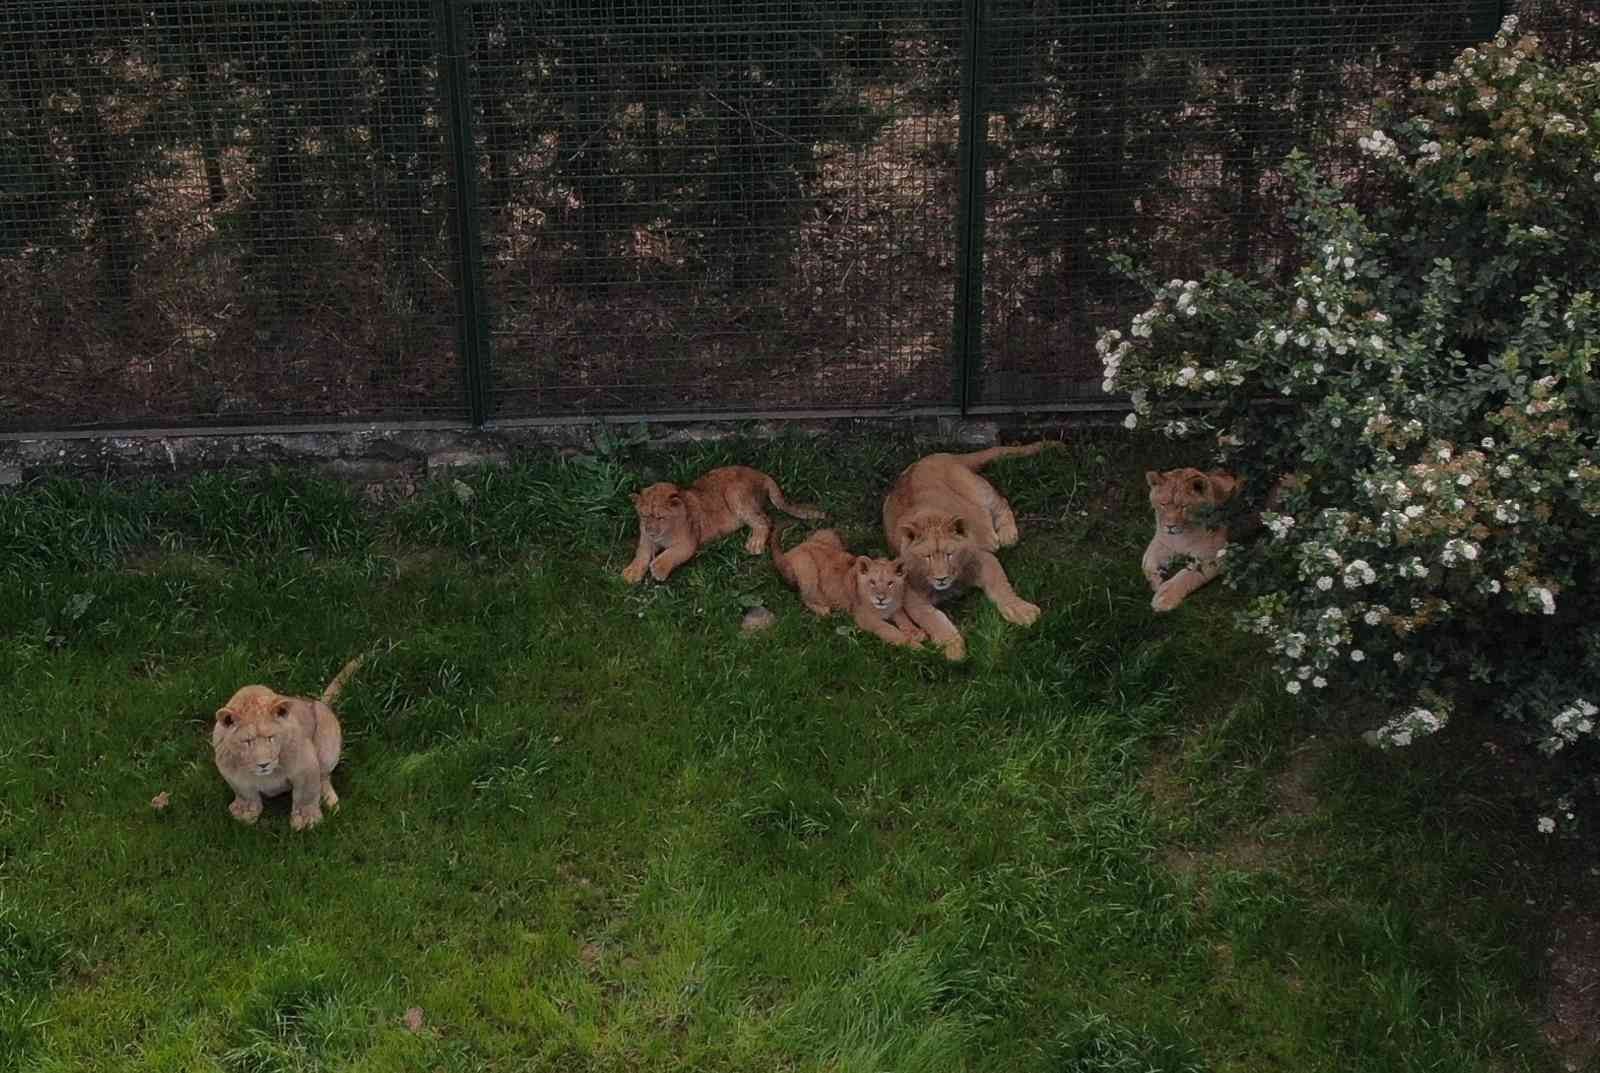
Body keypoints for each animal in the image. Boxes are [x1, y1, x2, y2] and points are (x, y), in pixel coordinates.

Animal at [211, 655, 361, 831]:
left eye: (271, 737)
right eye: (247, 741)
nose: (264, 765)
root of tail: (318, 701)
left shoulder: (306, 766)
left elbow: (306, 794)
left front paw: (306, 820)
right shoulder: (230, 772)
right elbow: (245, 793)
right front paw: (246, 811)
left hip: (326, 737)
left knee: (324, 776)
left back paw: (330, 801)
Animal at [620, 466, 825, 582]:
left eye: (660, 517)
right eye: (644, 516)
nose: (650, 530)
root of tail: (761, 474)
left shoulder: (688, 542)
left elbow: (672, 553)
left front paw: (658, 568)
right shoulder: (646, 539)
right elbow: (641, 554)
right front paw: (631, 572)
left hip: (735, 493)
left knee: (764, 520)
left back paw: (755, 543)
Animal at [771, 527, 934, 649]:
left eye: (890, 583)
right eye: (872, 582)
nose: (880, 599)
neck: (884, 608)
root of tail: (793, 549)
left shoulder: (895, 607)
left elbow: (904, 618)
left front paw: (916, 632)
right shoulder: (865, 619)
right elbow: (891, 631)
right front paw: (916, 646)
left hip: (829, 534)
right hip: (807, 567)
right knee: (804, 596)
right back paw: (823, 610)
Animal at [883, 441, 1056, 658]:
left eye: (950, 554)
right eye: (927, 556)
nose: (941, 579)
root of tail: (940, 455)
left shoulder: (984, 559)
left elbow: (1001, 588)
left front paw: (1021, 611)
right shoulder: (910, 593)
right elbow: (933, 619)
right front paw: (953, 647)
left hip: (979, 490)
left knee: (1002, 503)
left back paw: (1007, 536)